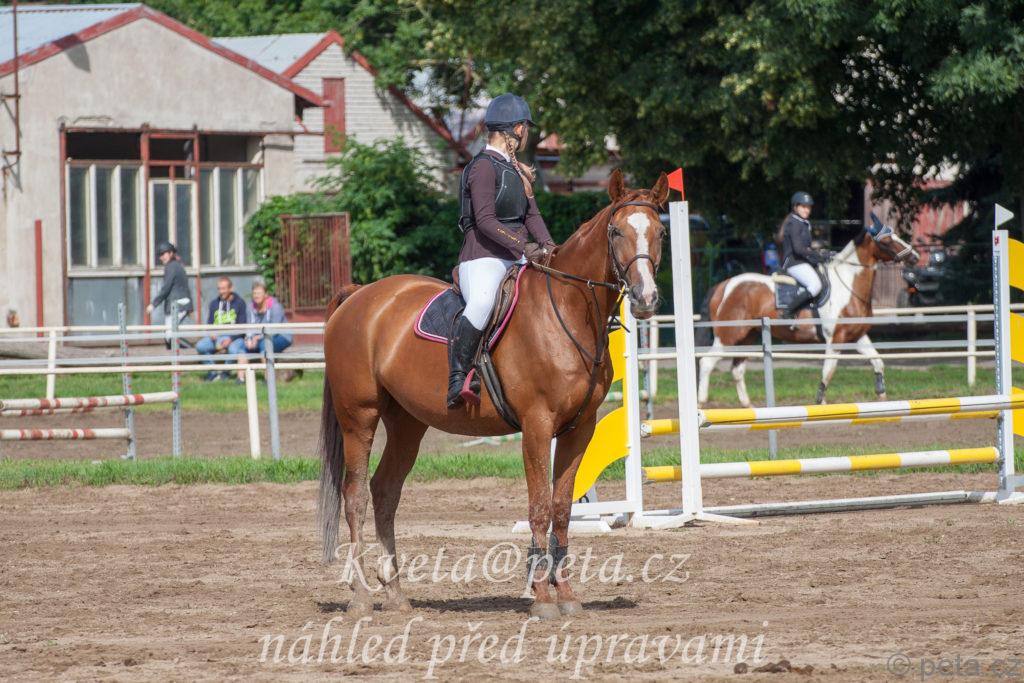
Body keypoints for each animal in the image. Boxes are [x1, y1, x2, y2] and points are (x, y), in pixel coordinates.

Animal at [317, 169, 669, 619]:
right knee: (356, 496)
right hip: (359, 417)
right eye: (616, 230)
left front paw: (567, 596)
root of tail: (360, 295)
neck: (567, 310)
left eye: (660, 231)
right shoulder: (537, 426)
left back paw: (395, 594)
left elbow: (562, 509)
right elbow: (539, 508)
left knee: (385, 492)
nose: (645, 299)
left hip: (407, 424)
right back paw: (361, 597)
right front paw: (542, 599)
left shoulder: (579, 429)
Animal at [697, 222, 914, 406]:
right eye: (886, 240)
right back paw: (701, 403)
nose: (914, 256)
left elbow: (877, 361)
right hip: (729, 336)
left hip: (746, 338)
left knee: (737, 369)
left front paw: (882, 394)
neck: (848, 285)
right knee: (707, 362)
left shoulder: (857, 336)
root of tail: (724, 285)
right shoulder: (835, 339)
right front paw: (820, 401)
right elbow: (828, 370)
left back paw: (747, 406)